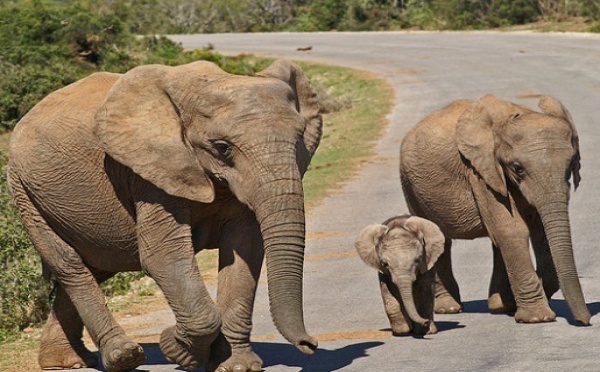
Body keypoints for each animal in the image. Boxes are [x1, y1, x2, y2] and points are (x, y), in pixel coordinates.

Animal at [7, 58, 322, 372]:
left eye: (299, 139)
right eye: (222, 148)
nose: (310, 344)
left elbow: (246, 251)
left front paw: (236, 365)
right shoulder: (148, 173)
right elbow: (163, 256)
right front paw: (177, 350)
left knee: (96, 265)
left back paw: (66, 361)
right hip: (24, 192)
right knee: (71, 265)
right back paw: (123, 356)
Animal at [398, 93, 592, 326]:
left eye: (571, 165)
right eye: (518, 168)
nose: (585, 321)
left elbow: (538, 229)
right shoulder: (480, 171)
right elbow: (512, 230)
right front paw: (538, 318)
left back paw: (501, 305)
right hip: (409, 183)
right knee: (436, 236)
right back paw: (449, 308)